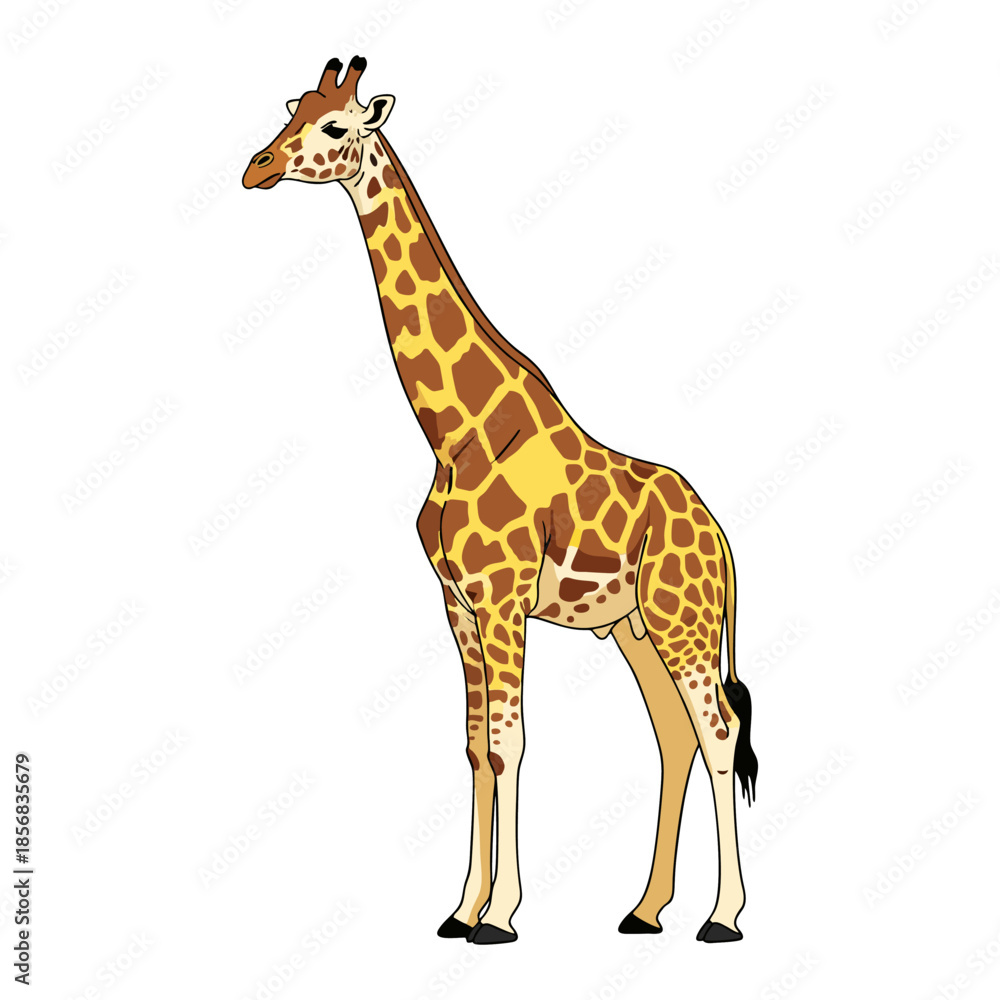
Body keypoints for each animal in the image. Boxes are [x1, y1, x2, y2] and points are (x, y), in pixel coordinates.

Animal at [243, 55, 759, 946]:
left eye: (335, 126)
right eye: (292, 114)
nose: (257, 168)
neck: (454, 434)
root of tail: (721, 538)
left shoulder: (503, 596)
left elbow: (511, 744)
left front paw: (502, 916)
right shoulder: (456, 602)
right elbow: (475, 746)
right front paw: (460, 909)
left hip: (683, 621)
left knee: (718, 732)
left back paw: (722, 917)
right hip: (635, 628)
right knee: (674, 733)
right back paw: (645, 909)